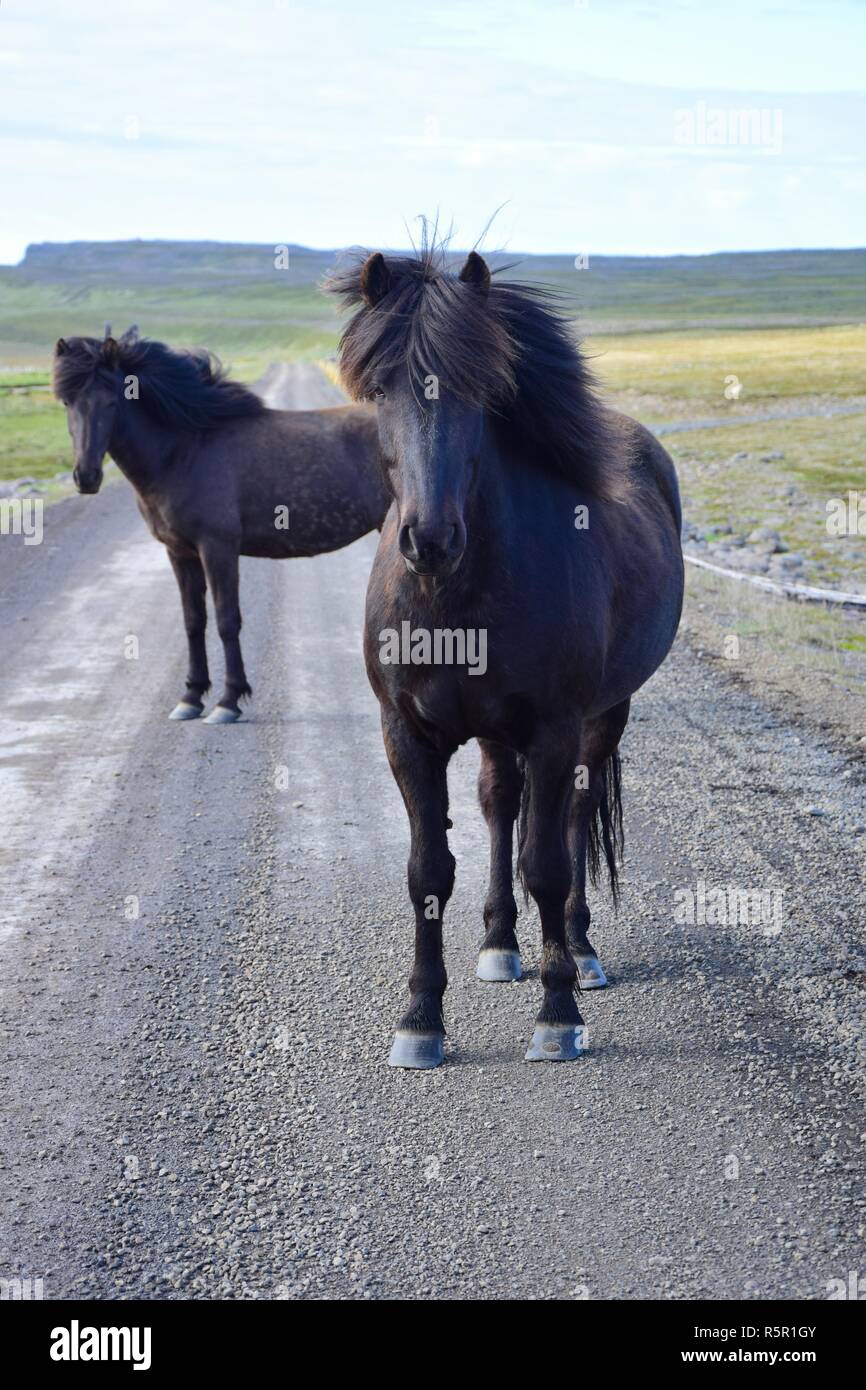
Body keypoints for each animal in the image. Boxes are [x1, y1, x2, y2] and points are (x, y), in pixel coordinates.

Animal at [50, 332, 383, 722]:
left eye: (110, 402)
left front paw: (228, 700)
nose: (86, 477)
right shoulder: (179, 553)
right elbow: (194, 621)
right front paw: (191, 697)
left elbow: (227, 620)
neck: (184, 450)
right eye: (67, 401)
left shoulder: (217, 549)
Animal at [328, 250, 686, 1067]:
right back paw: (499, 943)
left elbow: (547, 865)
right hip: (496, 730)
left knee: (573, 819)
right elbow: (428, 871)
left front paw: (558, 1013)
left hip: (603, 715)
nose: (430, 539)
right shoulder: (406, 735)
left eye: (480, 388)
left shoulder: (554, 730)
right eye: (380, 386)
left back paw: (579, 952)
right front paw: (420, 1019)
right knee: (498, 802)